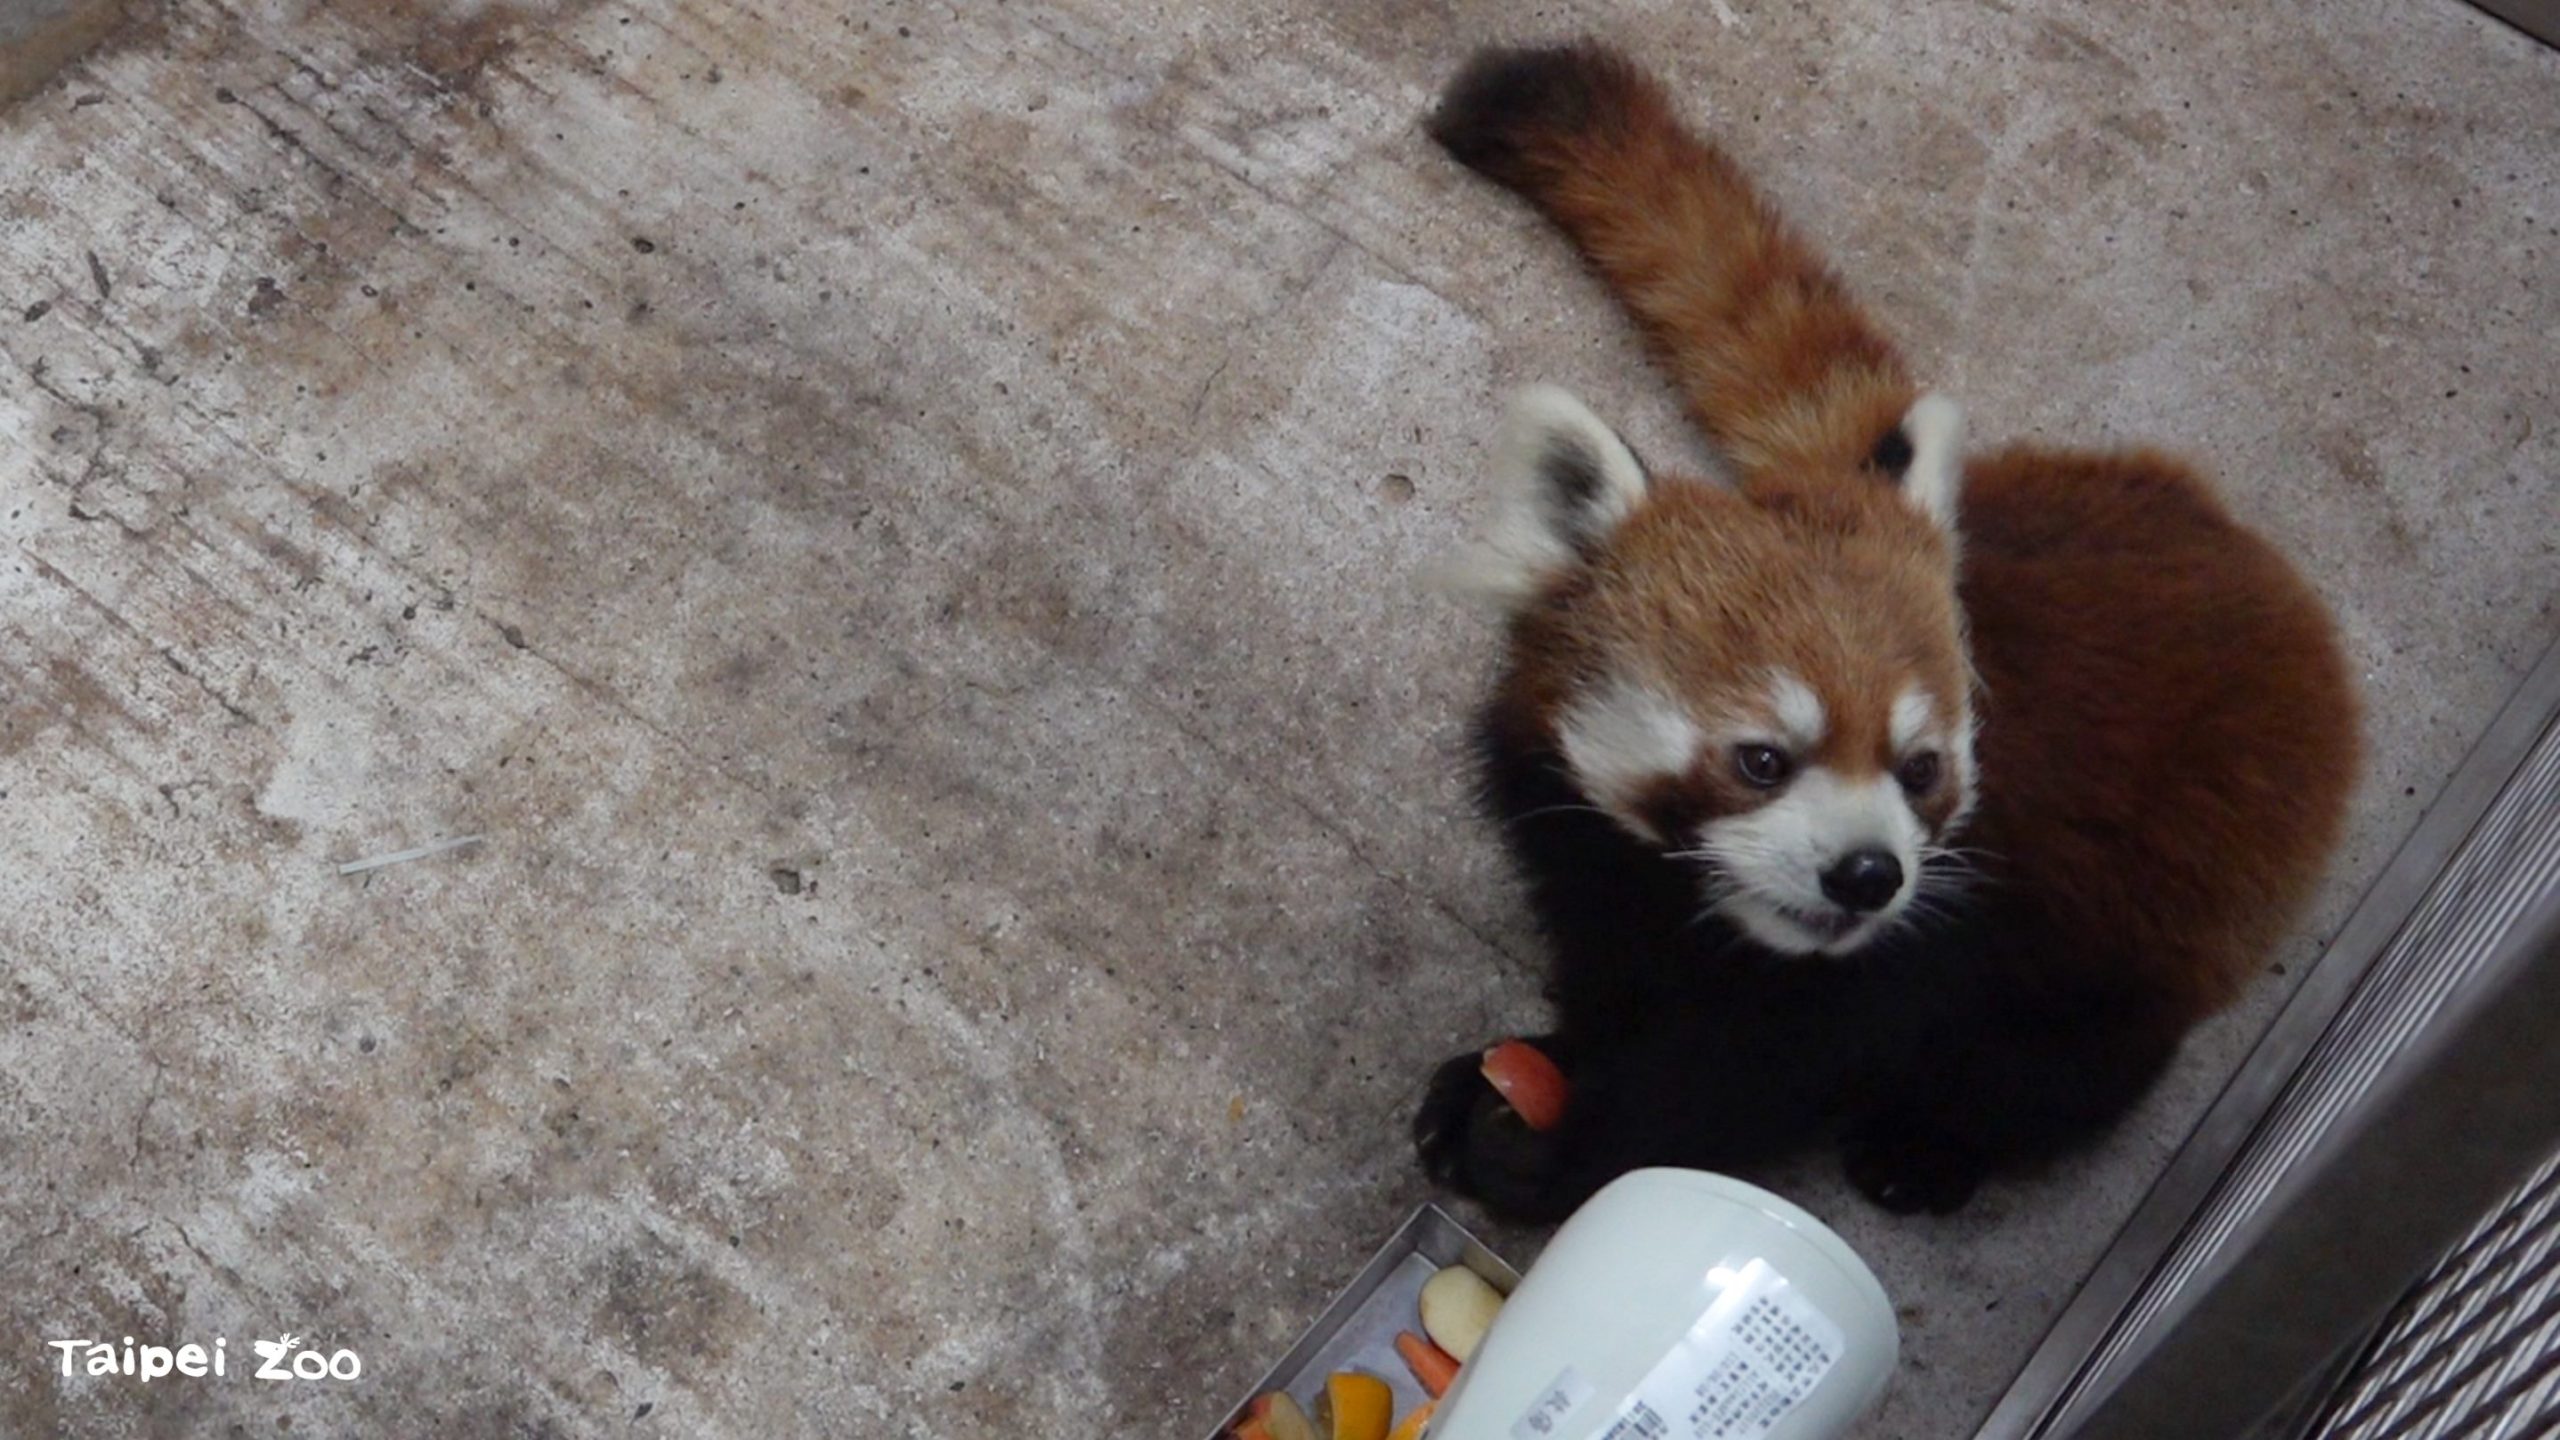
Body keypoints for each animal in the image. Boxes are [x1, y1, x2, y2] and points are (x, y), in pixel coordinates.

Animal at [1423, 41, 2355, 1209]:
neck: (1697, 905)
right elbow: (1614, 971)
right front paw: (1528, 1068)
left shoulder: (1934, 937)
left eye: (1921, 769)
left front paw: (1564, 1149)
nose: (1869, 874)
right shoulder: (1586, 859)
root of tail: (2214, 516)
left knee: (2064, 1059)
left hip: (2170, 894)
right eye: (1762, 758)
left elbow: (1762, 1070)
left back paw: (1934, 1148)